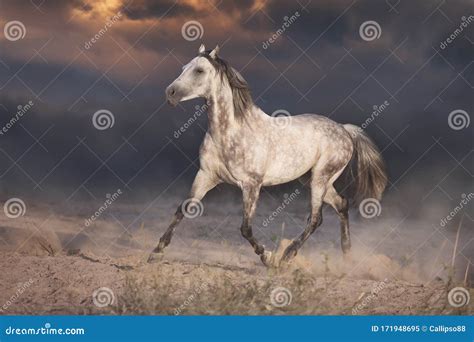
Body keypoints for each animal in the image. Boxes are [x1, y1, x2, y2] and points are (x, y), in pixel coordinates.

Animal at [146, 43, 386, 268]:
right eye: (183, 68)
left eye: (199, 70)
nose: (170, 94)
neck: (231, 133)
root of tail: (344, 130)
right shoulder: (206, 175)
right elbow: (183, 209)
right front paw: (156, 252)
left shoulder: (251, 185)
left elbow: (245, 228)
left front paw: (268, 258)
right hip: (313, 179)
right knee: (342, 204)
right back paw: (347, 256)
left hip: (321, 177)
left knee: (316, 218)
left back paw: (287, 256)